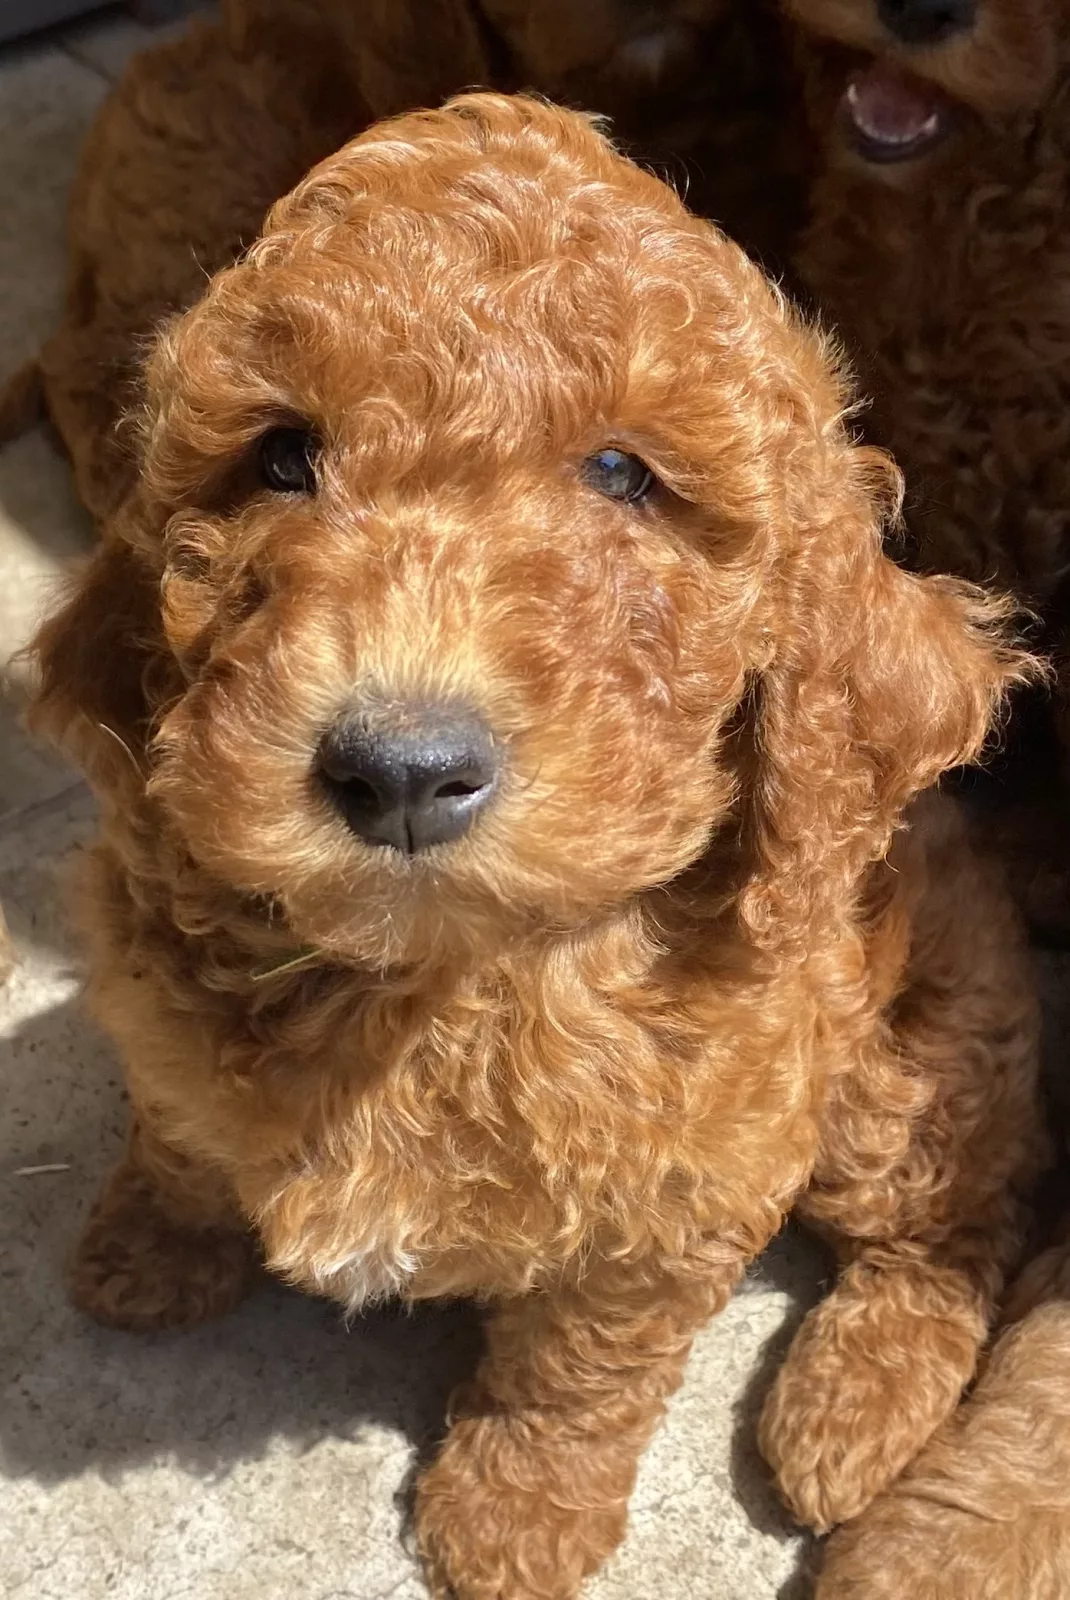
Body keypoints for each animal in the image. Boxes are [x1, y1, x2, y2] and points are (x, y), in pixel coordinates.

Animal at [29, 95, 1047, 1598]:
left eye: (623, 475)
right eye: (279, 457)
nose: (400, 769)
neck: (445, 981)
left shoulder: (685, 1188)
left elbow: (579, 1366)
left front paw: (512, 1518)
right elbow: (175, 1123)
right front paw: (146, 1244)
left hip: (896, 1076)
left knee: (954, 1211)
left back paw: (850, 1417)